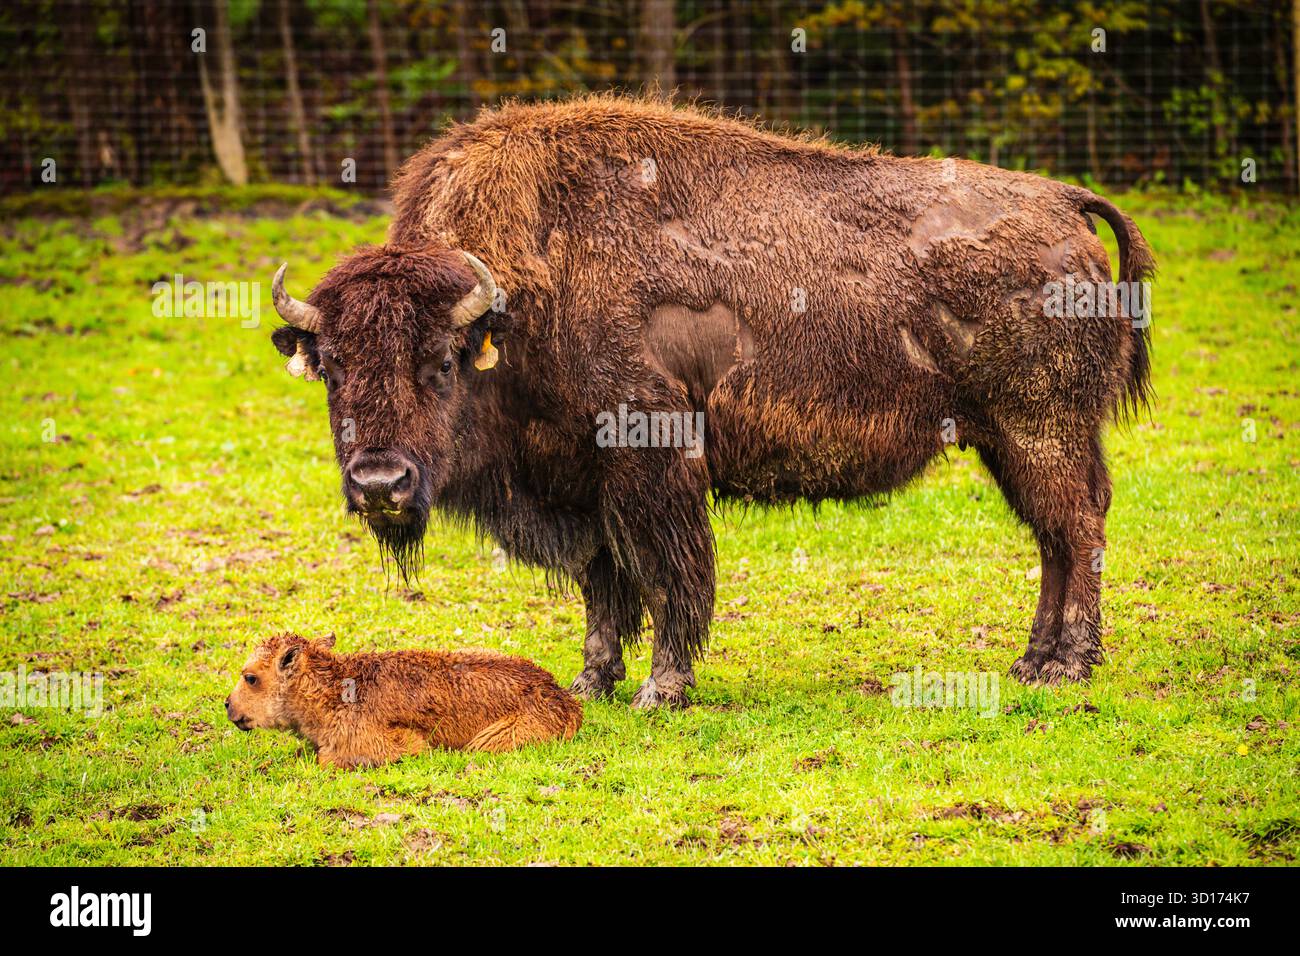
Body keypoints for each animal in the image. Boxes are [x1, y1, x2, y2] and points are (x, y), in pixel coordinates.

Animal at [270, 95, 1153, 708]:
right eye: (333, 367)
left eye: (442, 362)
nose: (380, 485)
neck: (518, 301)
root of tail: (1064, 203)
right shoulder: (581, 482)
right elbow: (603, 581)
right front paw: (592, 681)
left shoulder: (650, 462)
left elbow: (668, 576)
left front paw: (662, 688)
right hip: (1011, 440)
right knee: (1057, 537)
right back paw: (1031, 661)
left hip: (1040, 428)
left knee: (1077, 529)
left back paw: (1066, 667)